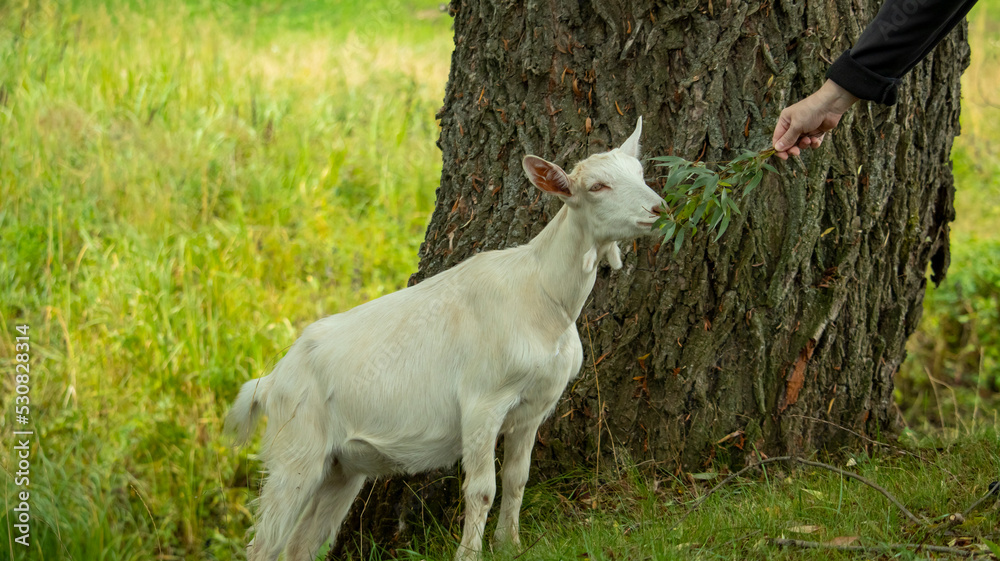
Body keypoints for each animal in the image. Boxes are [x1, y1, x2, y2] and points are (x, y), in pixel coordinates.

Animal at [225, 117, 664, 561]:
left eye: (640, 173)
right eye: (597, 186)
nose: (659, 209)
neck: (544, 296)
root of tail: (272, 380)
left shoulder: (533, 407)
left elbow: (517, 479)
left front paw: (510, 544)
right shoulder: (482, 402)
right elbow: (482, 489)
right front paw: (469, 554)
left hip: (341, 467)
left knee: (301, 544)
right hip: (296, 450)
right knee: (263, 543)